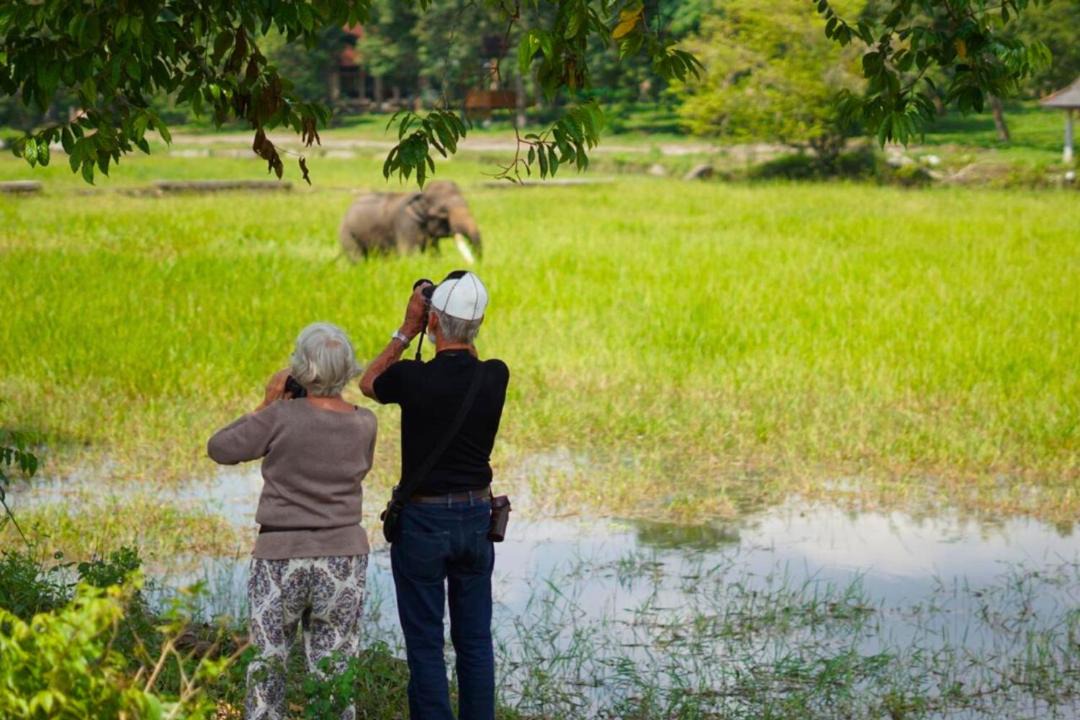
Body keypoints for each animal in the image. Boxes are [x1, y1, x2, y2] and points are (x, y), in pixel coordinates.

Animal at [338, 180, 482, 262]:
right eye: (443, 212)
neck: (420, 195)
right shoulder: (405, 223)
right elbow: (409, 254)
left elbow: (435, 253)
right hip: (347, 233)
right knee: (356, 257)